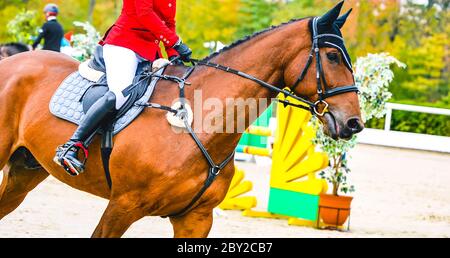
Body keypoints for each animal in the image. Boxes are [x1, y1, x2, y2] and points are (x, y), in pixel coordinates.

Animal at [0, 4, 362, 238]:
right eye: (332, 56)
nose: (354, 123)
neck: (199, 123)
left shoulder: (196, 218)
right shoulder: (122, 206)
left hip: (26, 170)